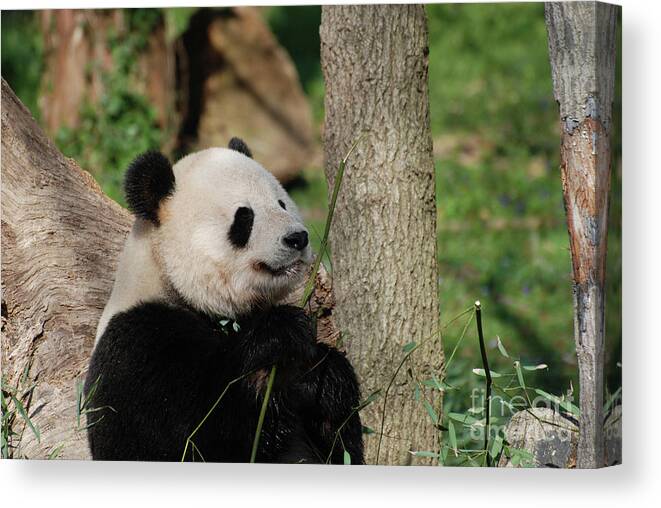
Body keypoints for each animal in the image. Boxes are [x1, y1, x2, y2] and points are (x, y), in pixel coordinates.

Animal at [85, 139, 364, 464]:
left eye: (281, 203)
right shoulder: (140, 345)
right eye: (244, 217)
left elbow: (342, 446)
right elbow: (200, 435)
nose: (298, 238)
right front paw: (281, 339)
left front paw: (323, 373)